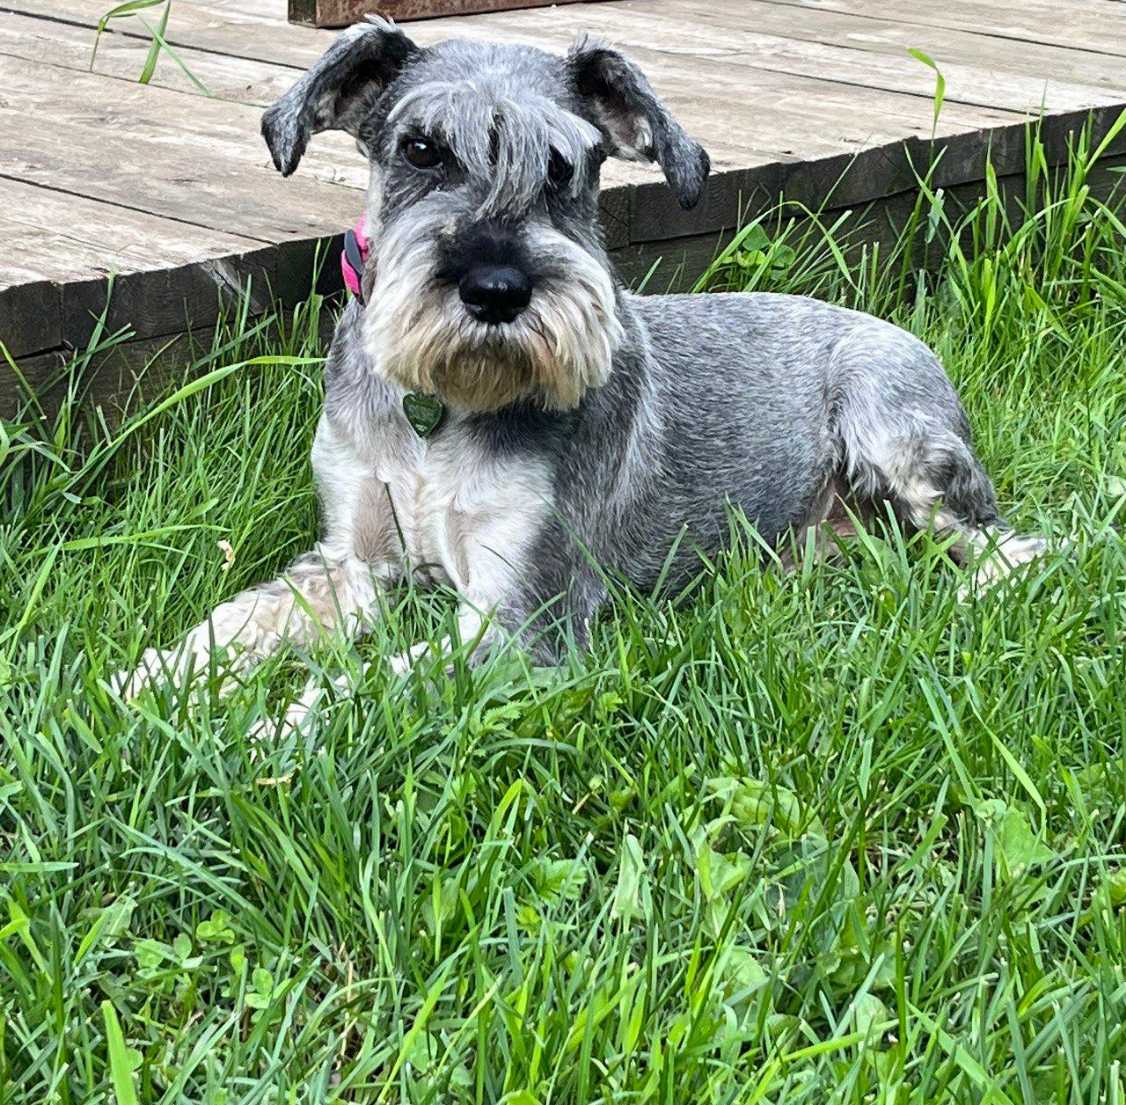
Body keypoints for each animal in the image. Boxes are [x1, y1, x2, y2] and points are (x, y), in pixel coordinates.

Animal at [118, 18, 1046, 725]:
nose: (496, 290)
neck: (440, 410)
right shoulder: (352, 560)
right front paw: (143, 685)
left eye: (564, 167)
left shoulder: (520, 620)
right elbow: (243, 620)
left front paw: (267, 733)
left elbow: (376, 684)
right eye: (420, 148)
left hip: (897, 435)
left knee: (1018, 544)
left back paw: (974, 595)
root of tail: (896, 331)